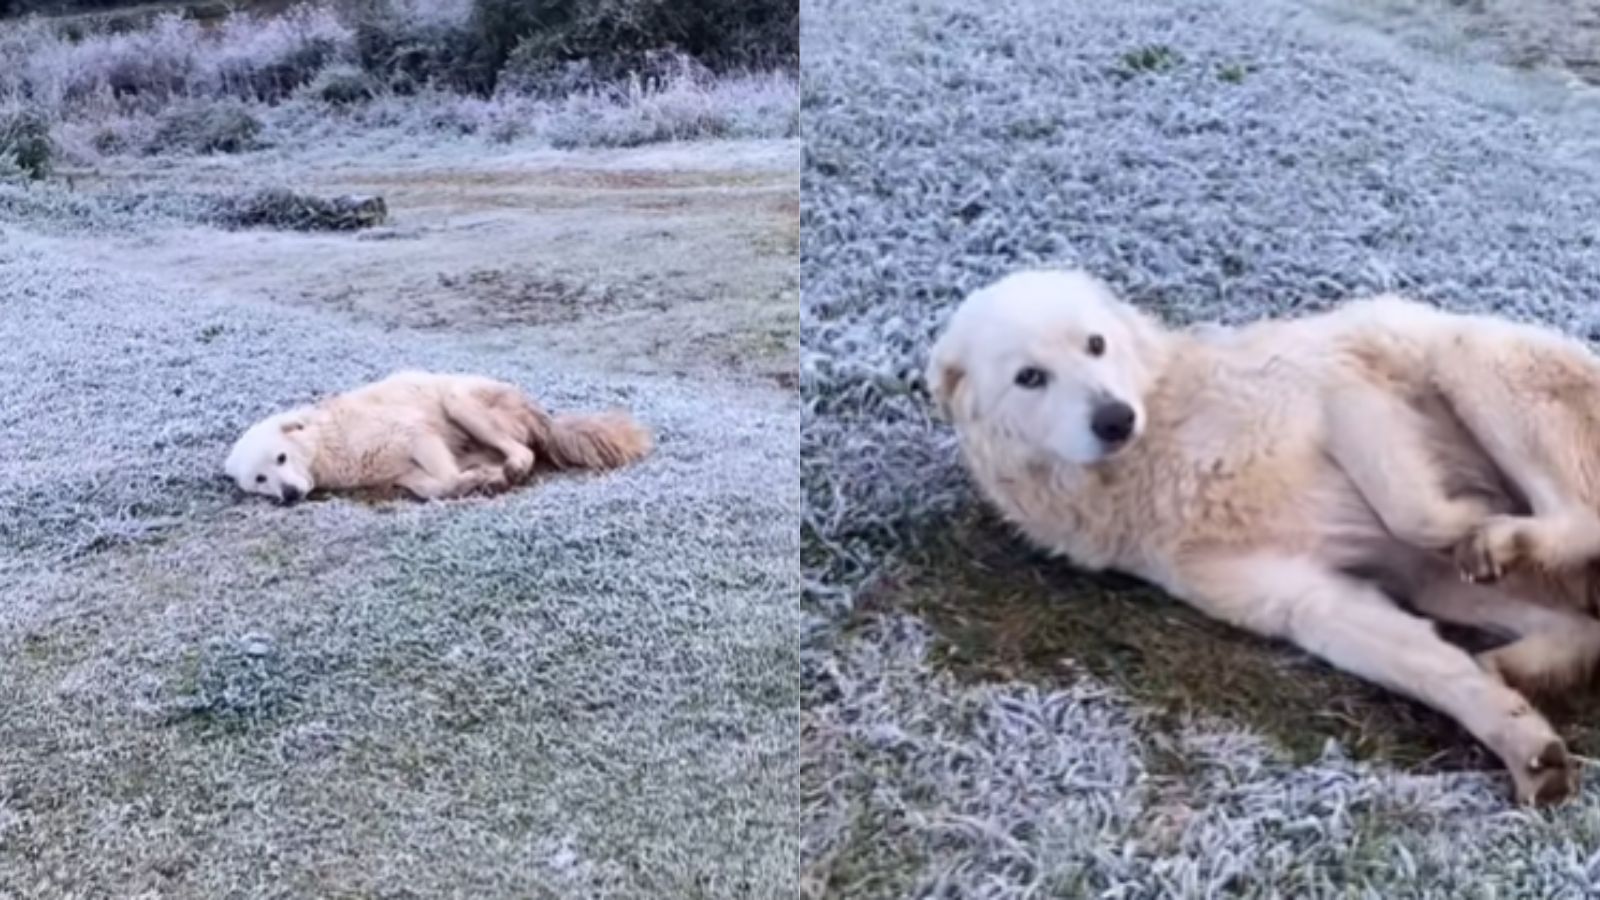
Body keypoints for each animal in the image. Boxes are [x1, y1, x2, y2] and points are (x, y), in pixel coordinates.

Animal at [224, 368, 649, 499]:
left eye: (281, 458)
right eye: (260, 479)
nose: (289, 496)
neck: (327, 443)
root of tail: (542, 415)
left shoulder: (416, 435)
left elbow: (443, 476)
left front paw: (474, 481)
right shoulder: (401, 474)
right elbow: (433, 487)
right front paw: (473, 481)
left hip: (458, 400)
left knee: (525, 454)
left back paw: (507, 471)